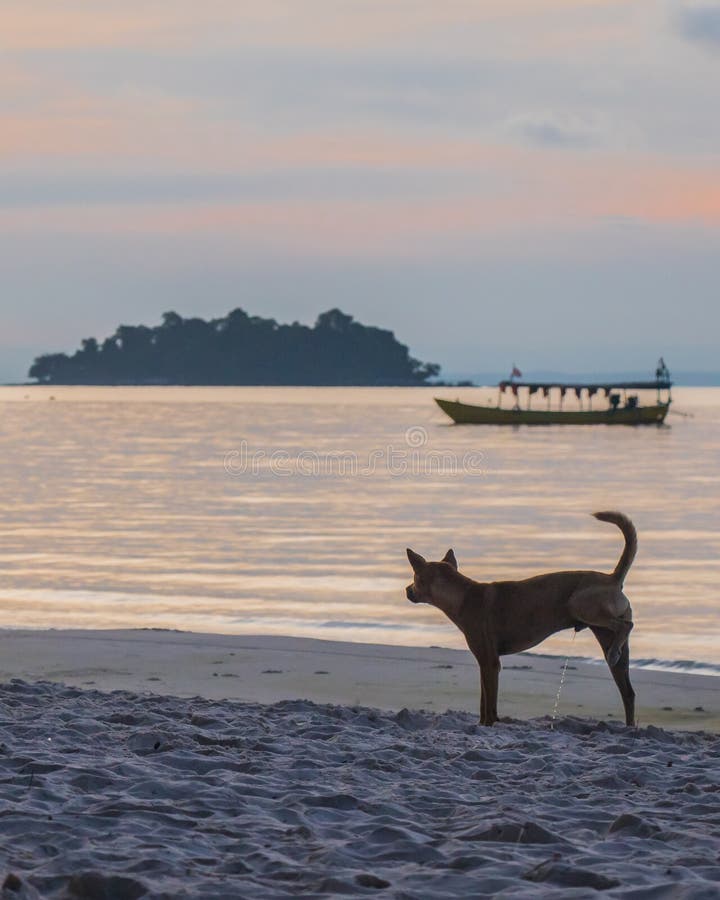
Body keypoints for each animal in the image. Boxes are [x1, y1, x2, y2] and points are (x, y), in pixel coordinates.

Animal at [404, 512, 636, 724]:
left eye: (414, 578)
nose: (406, 590)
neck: (463, 595)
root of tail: (613, 578)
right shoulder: (486, 663)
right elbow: (484, 702)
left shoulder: (489, 662)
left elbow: (489, 706)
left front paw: (489, 724)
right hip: (609, 641)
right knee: (628, 692)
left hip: (580, 604)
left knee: (626, 625)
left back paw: (615, 651)